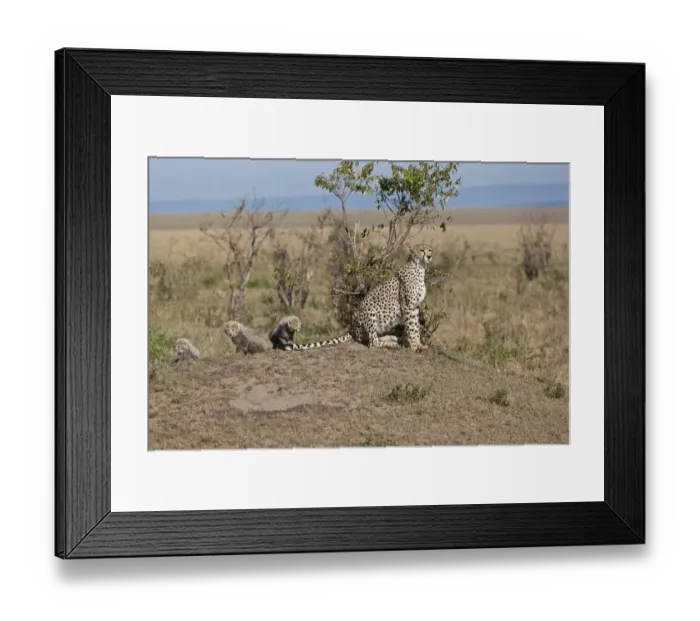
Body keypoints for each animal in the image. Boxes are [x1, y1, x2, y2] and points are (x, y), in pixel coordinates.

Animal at [288, 244, 432, 352]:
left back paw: (393, 338)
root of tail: (351, 327)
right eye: (421, 250)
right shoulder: (408, 306)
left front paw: (419, 344)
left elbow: (415, 326)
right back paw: (392, 344)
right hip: (371, 312)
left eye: (429, 249)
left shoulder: (415, 307)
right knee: (372, 342)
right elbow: (412, 327)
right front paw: (415, 346)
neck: (419, 268)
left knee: (373, 338)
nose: (429, 256)